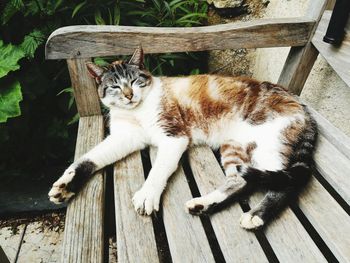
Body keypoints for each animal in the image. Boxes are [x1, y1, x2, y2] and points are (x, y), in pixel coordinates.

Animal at [47, 47, 318, 231]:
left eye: (134, 80)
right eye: (114, 86)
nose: (129, 95)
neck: (136, 112)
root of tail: (302, 106)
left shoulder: (173, 137)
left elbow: (157, 170)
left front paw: (147, 195)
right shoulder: (124, 138)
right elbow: (90, 158)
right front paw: (65, 185)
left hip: (269, 145)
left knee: (284, 183)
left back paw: (256, 215)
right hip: (235, 148)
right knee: (240, 180)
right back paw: (203, 204)